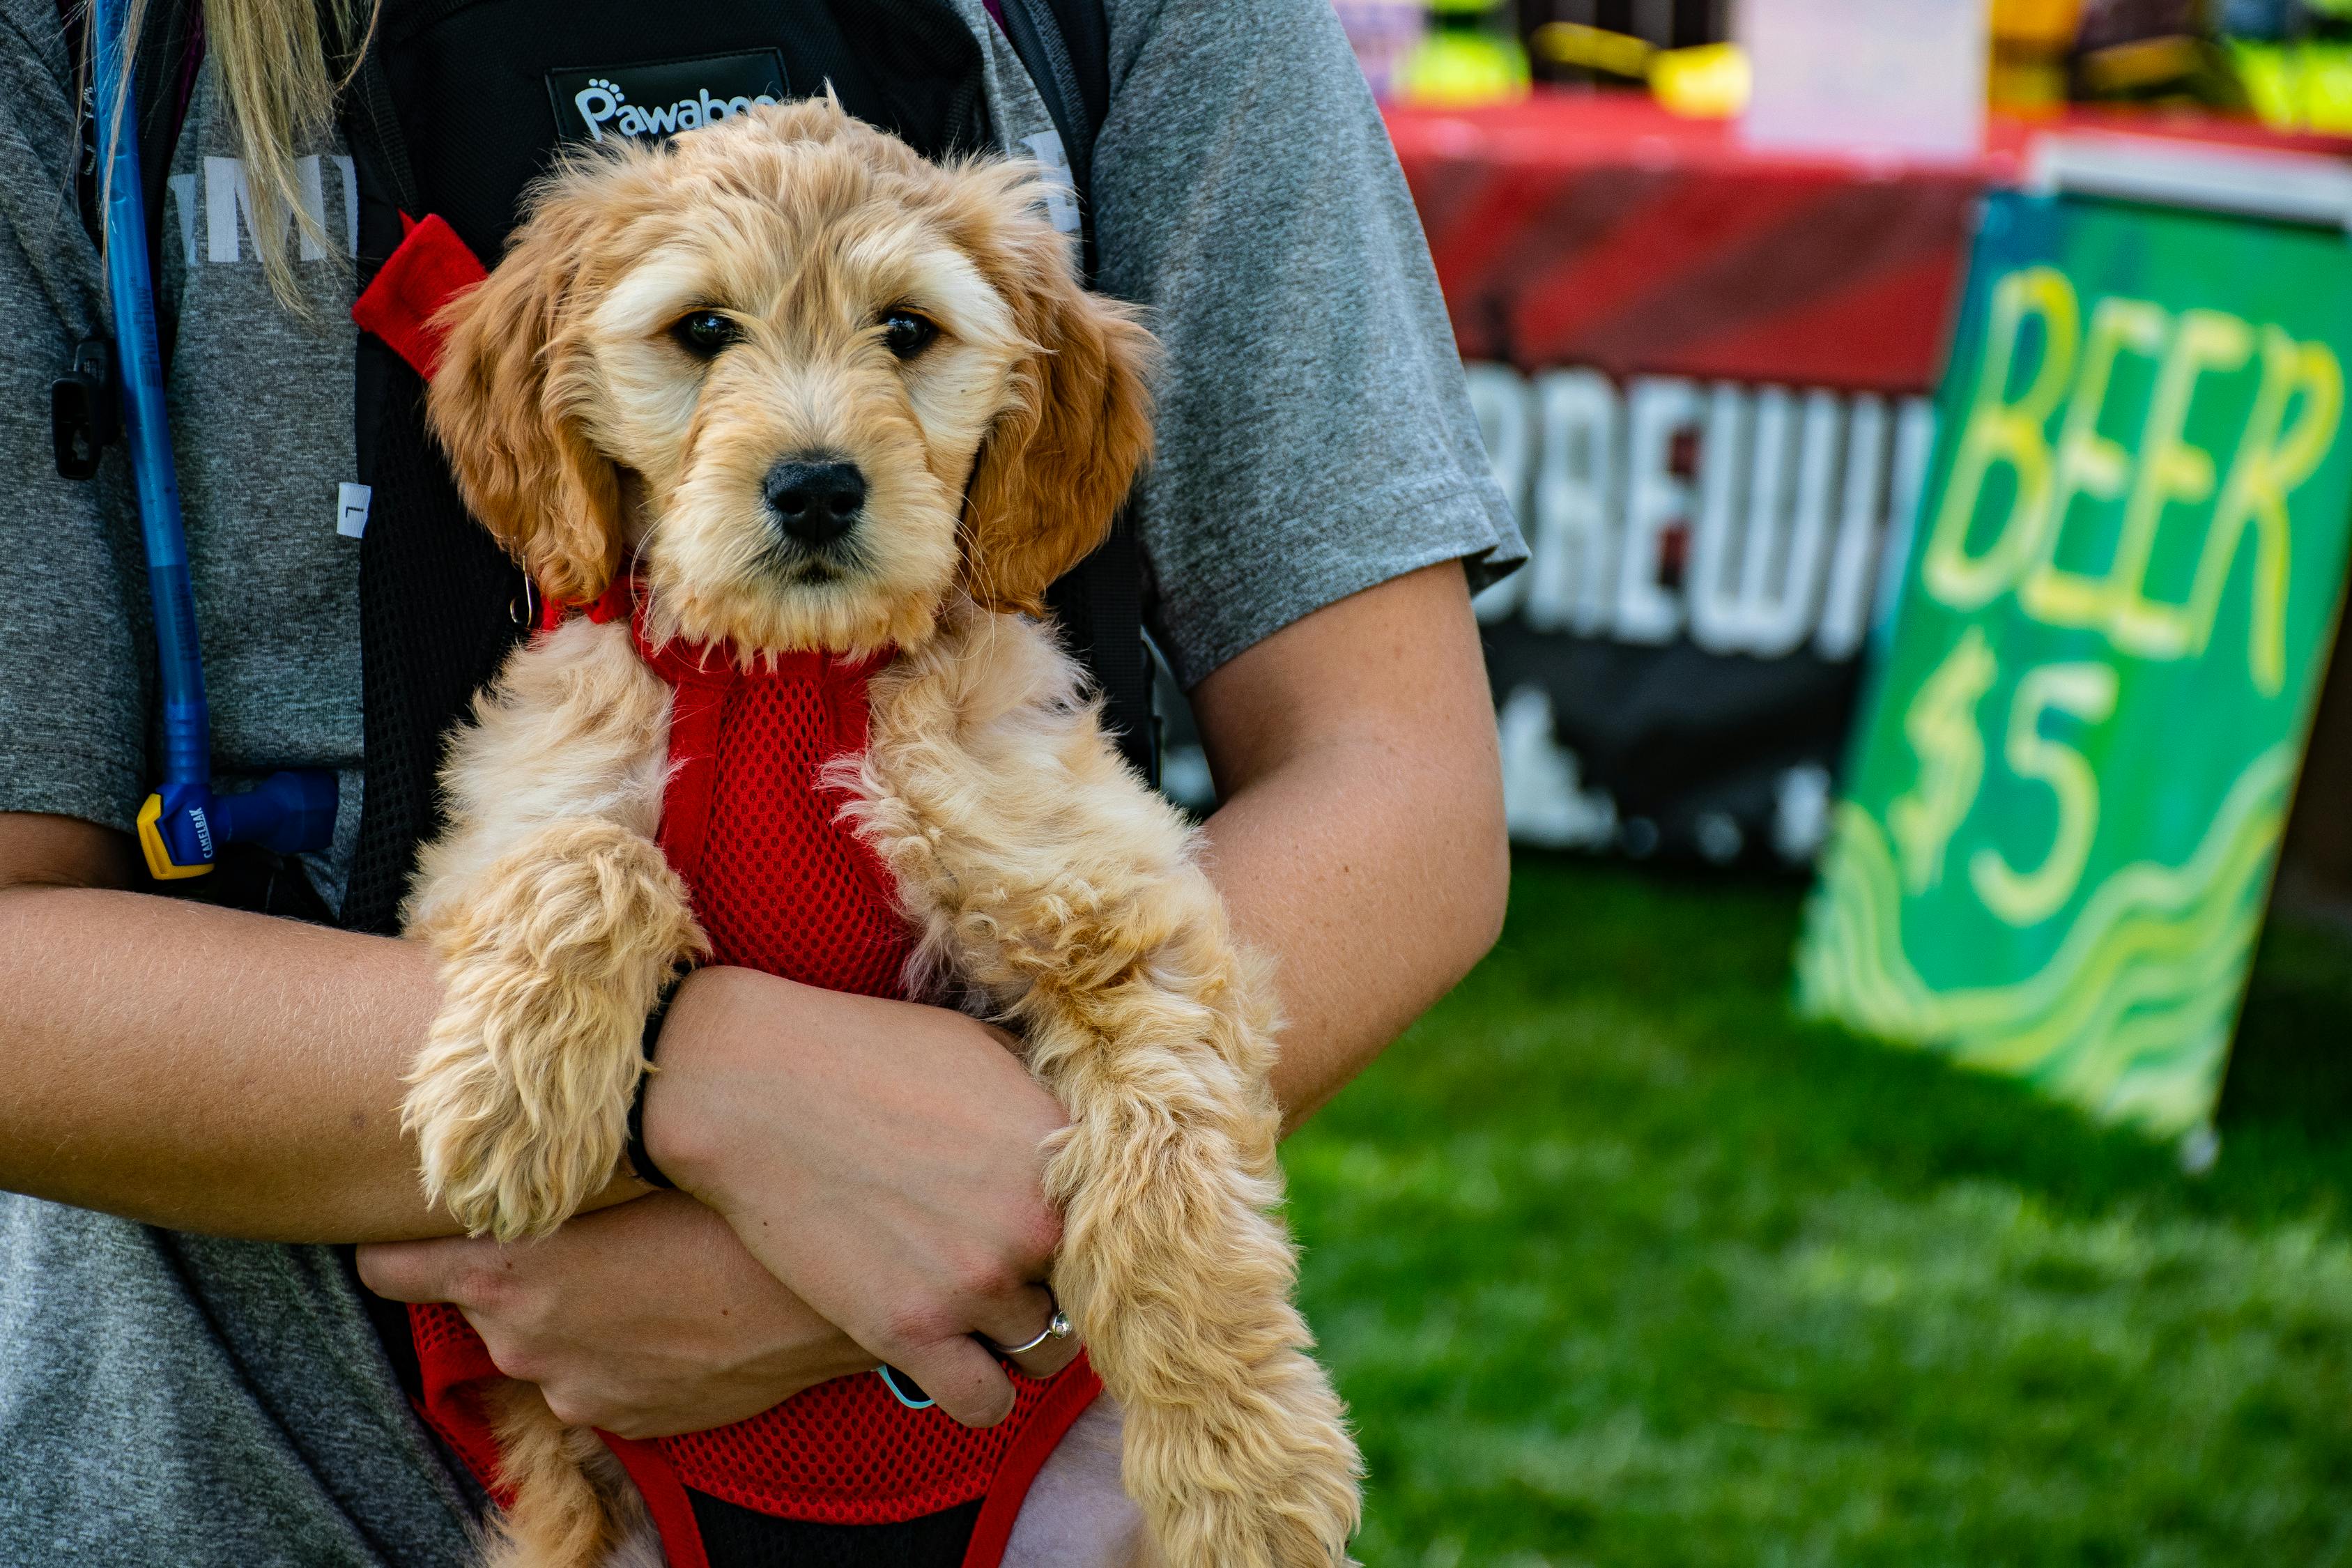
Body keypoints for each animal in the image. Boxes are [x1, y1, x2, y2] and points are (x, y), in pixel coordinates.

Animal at [404, 98, 1364, 1568]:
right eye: (702, 329)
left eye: (906, 331)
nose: (814, 488)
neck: (792, 672)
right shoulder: (494, 821)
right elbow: (597, 855)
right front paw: (511, 1108)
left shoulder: (1116, 899)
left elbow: (1170, 1165)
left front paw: (1248, 1477)